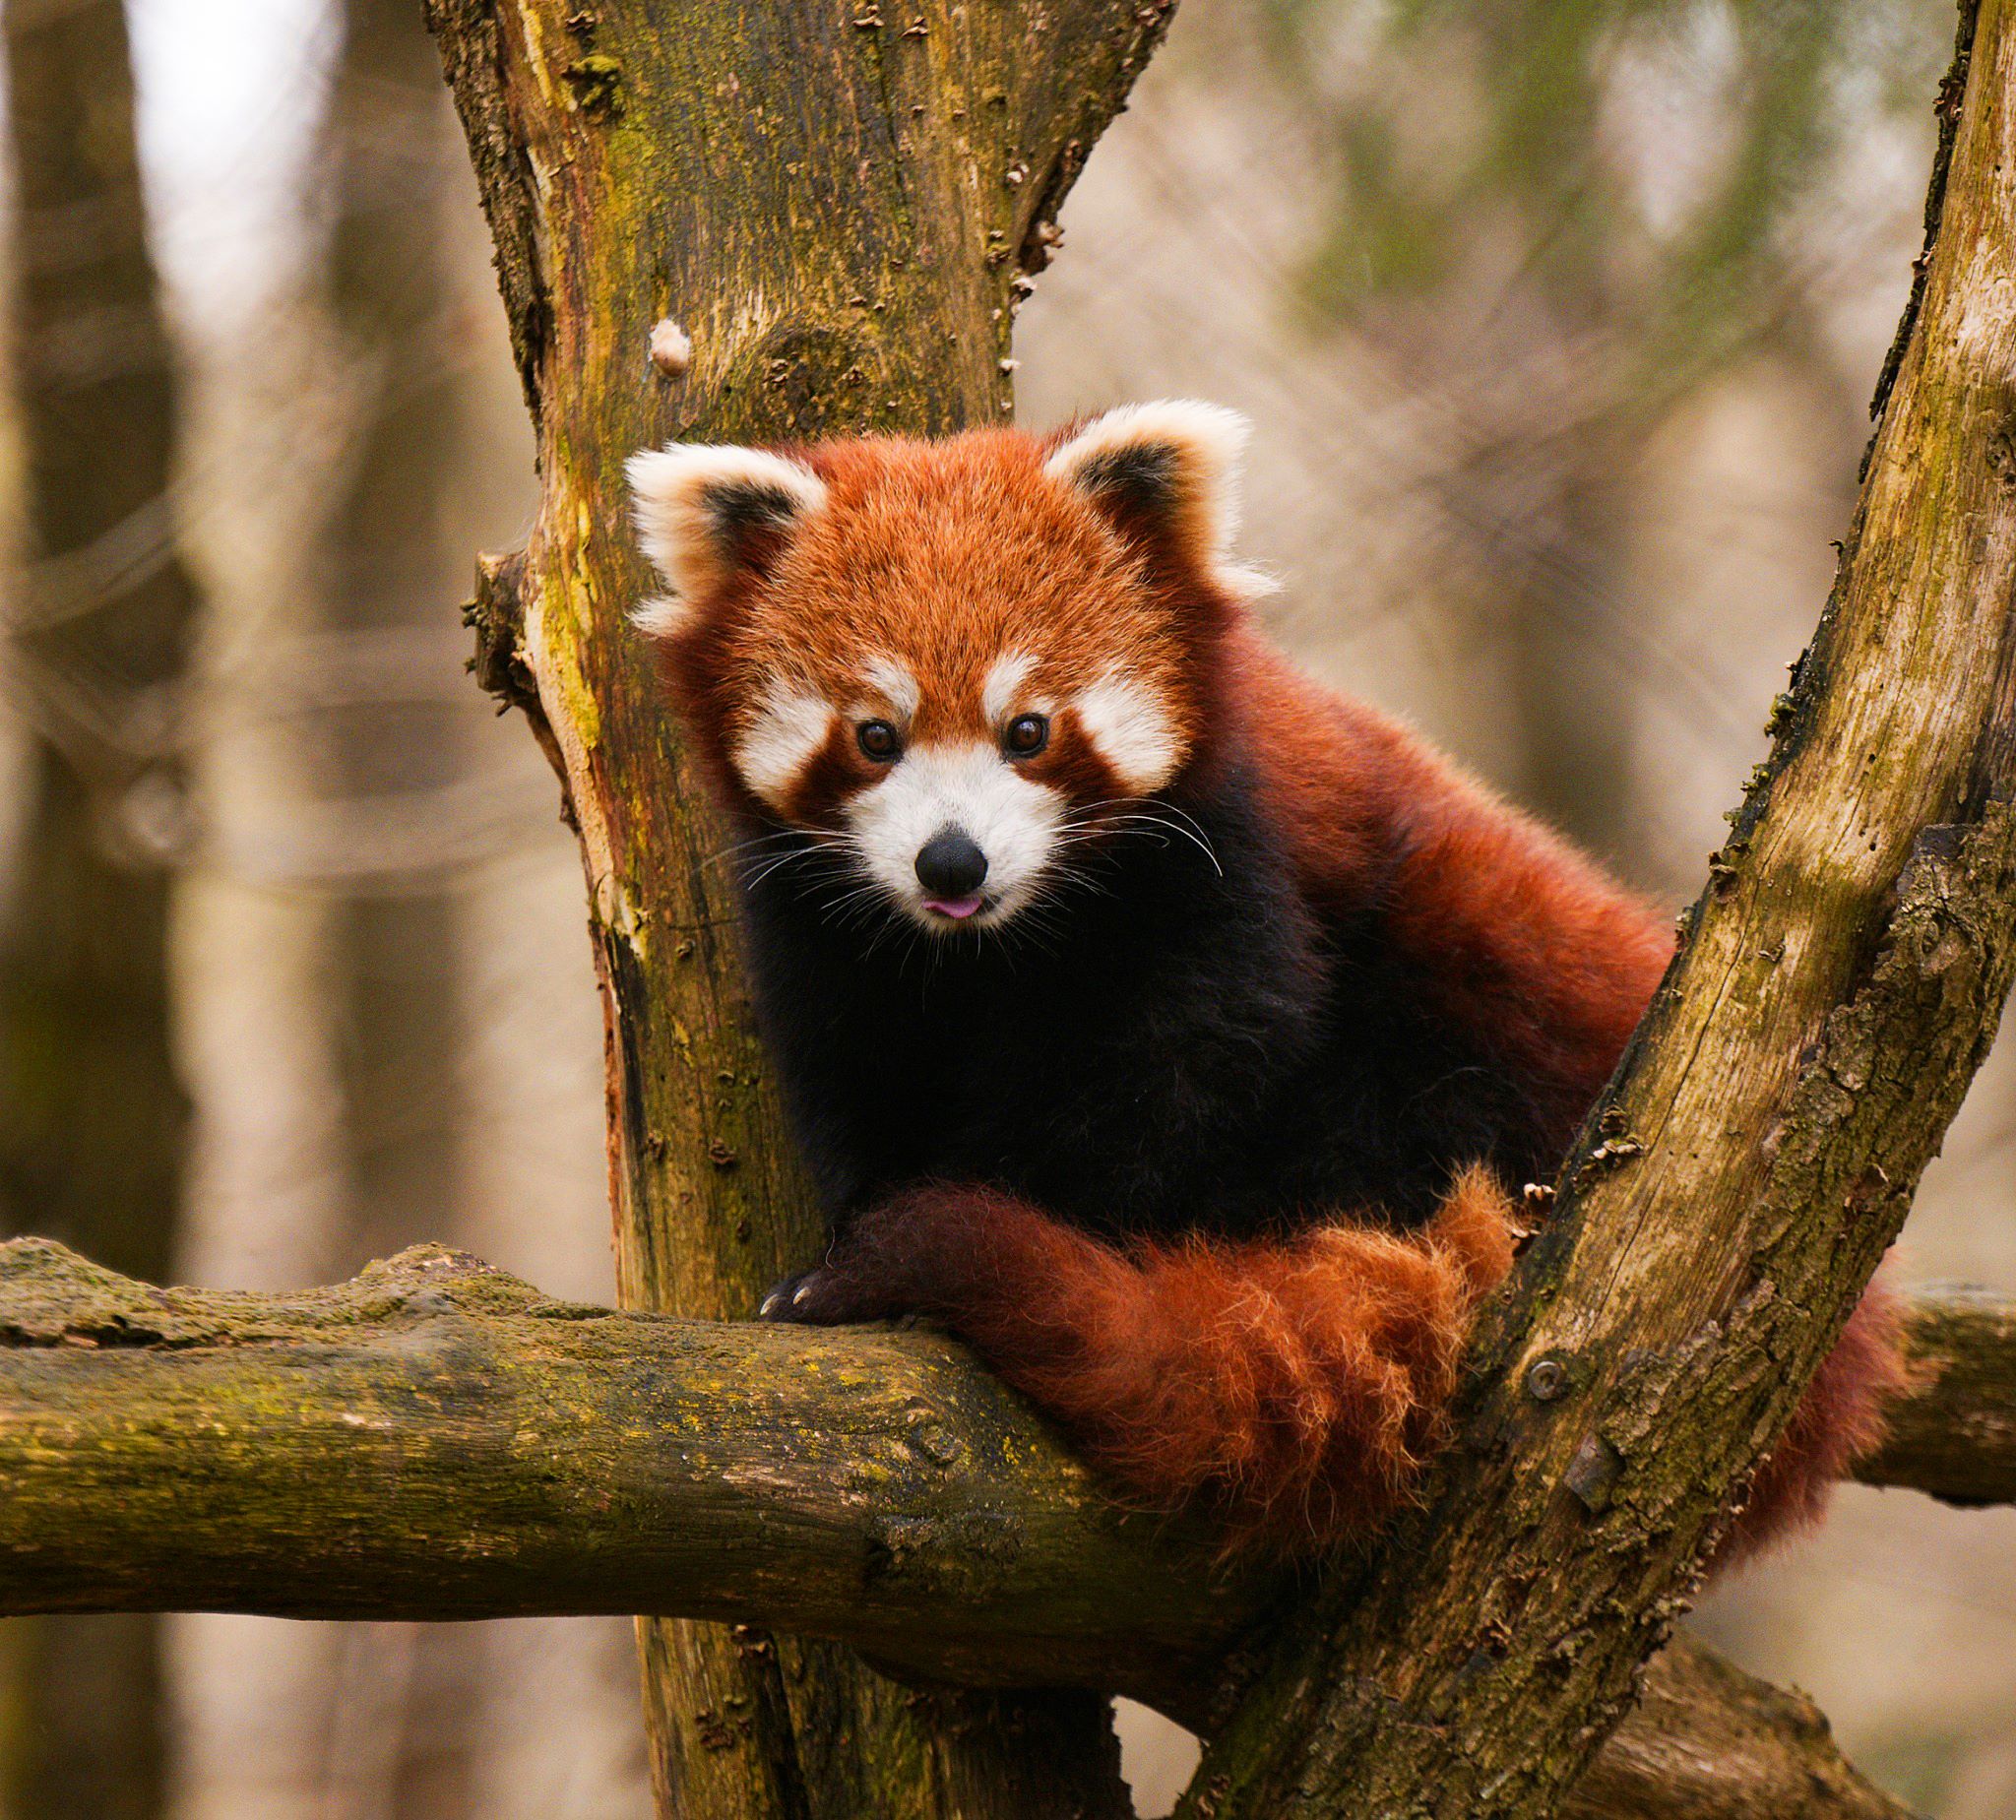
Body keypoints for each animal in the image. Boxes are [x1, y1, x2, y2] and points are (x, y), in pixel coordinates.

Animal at [628, 405, 1903, 1555]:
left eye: (1027, 730)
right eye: (875, 736)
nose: (953, 861)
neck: (998, 948)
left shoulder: (1225, 864)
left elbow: (1190, 1066)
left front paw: (1030, 1223)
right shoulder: (825, 937)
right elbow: (858, 1079)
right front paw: (859, 1230)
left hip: (1494, 950)